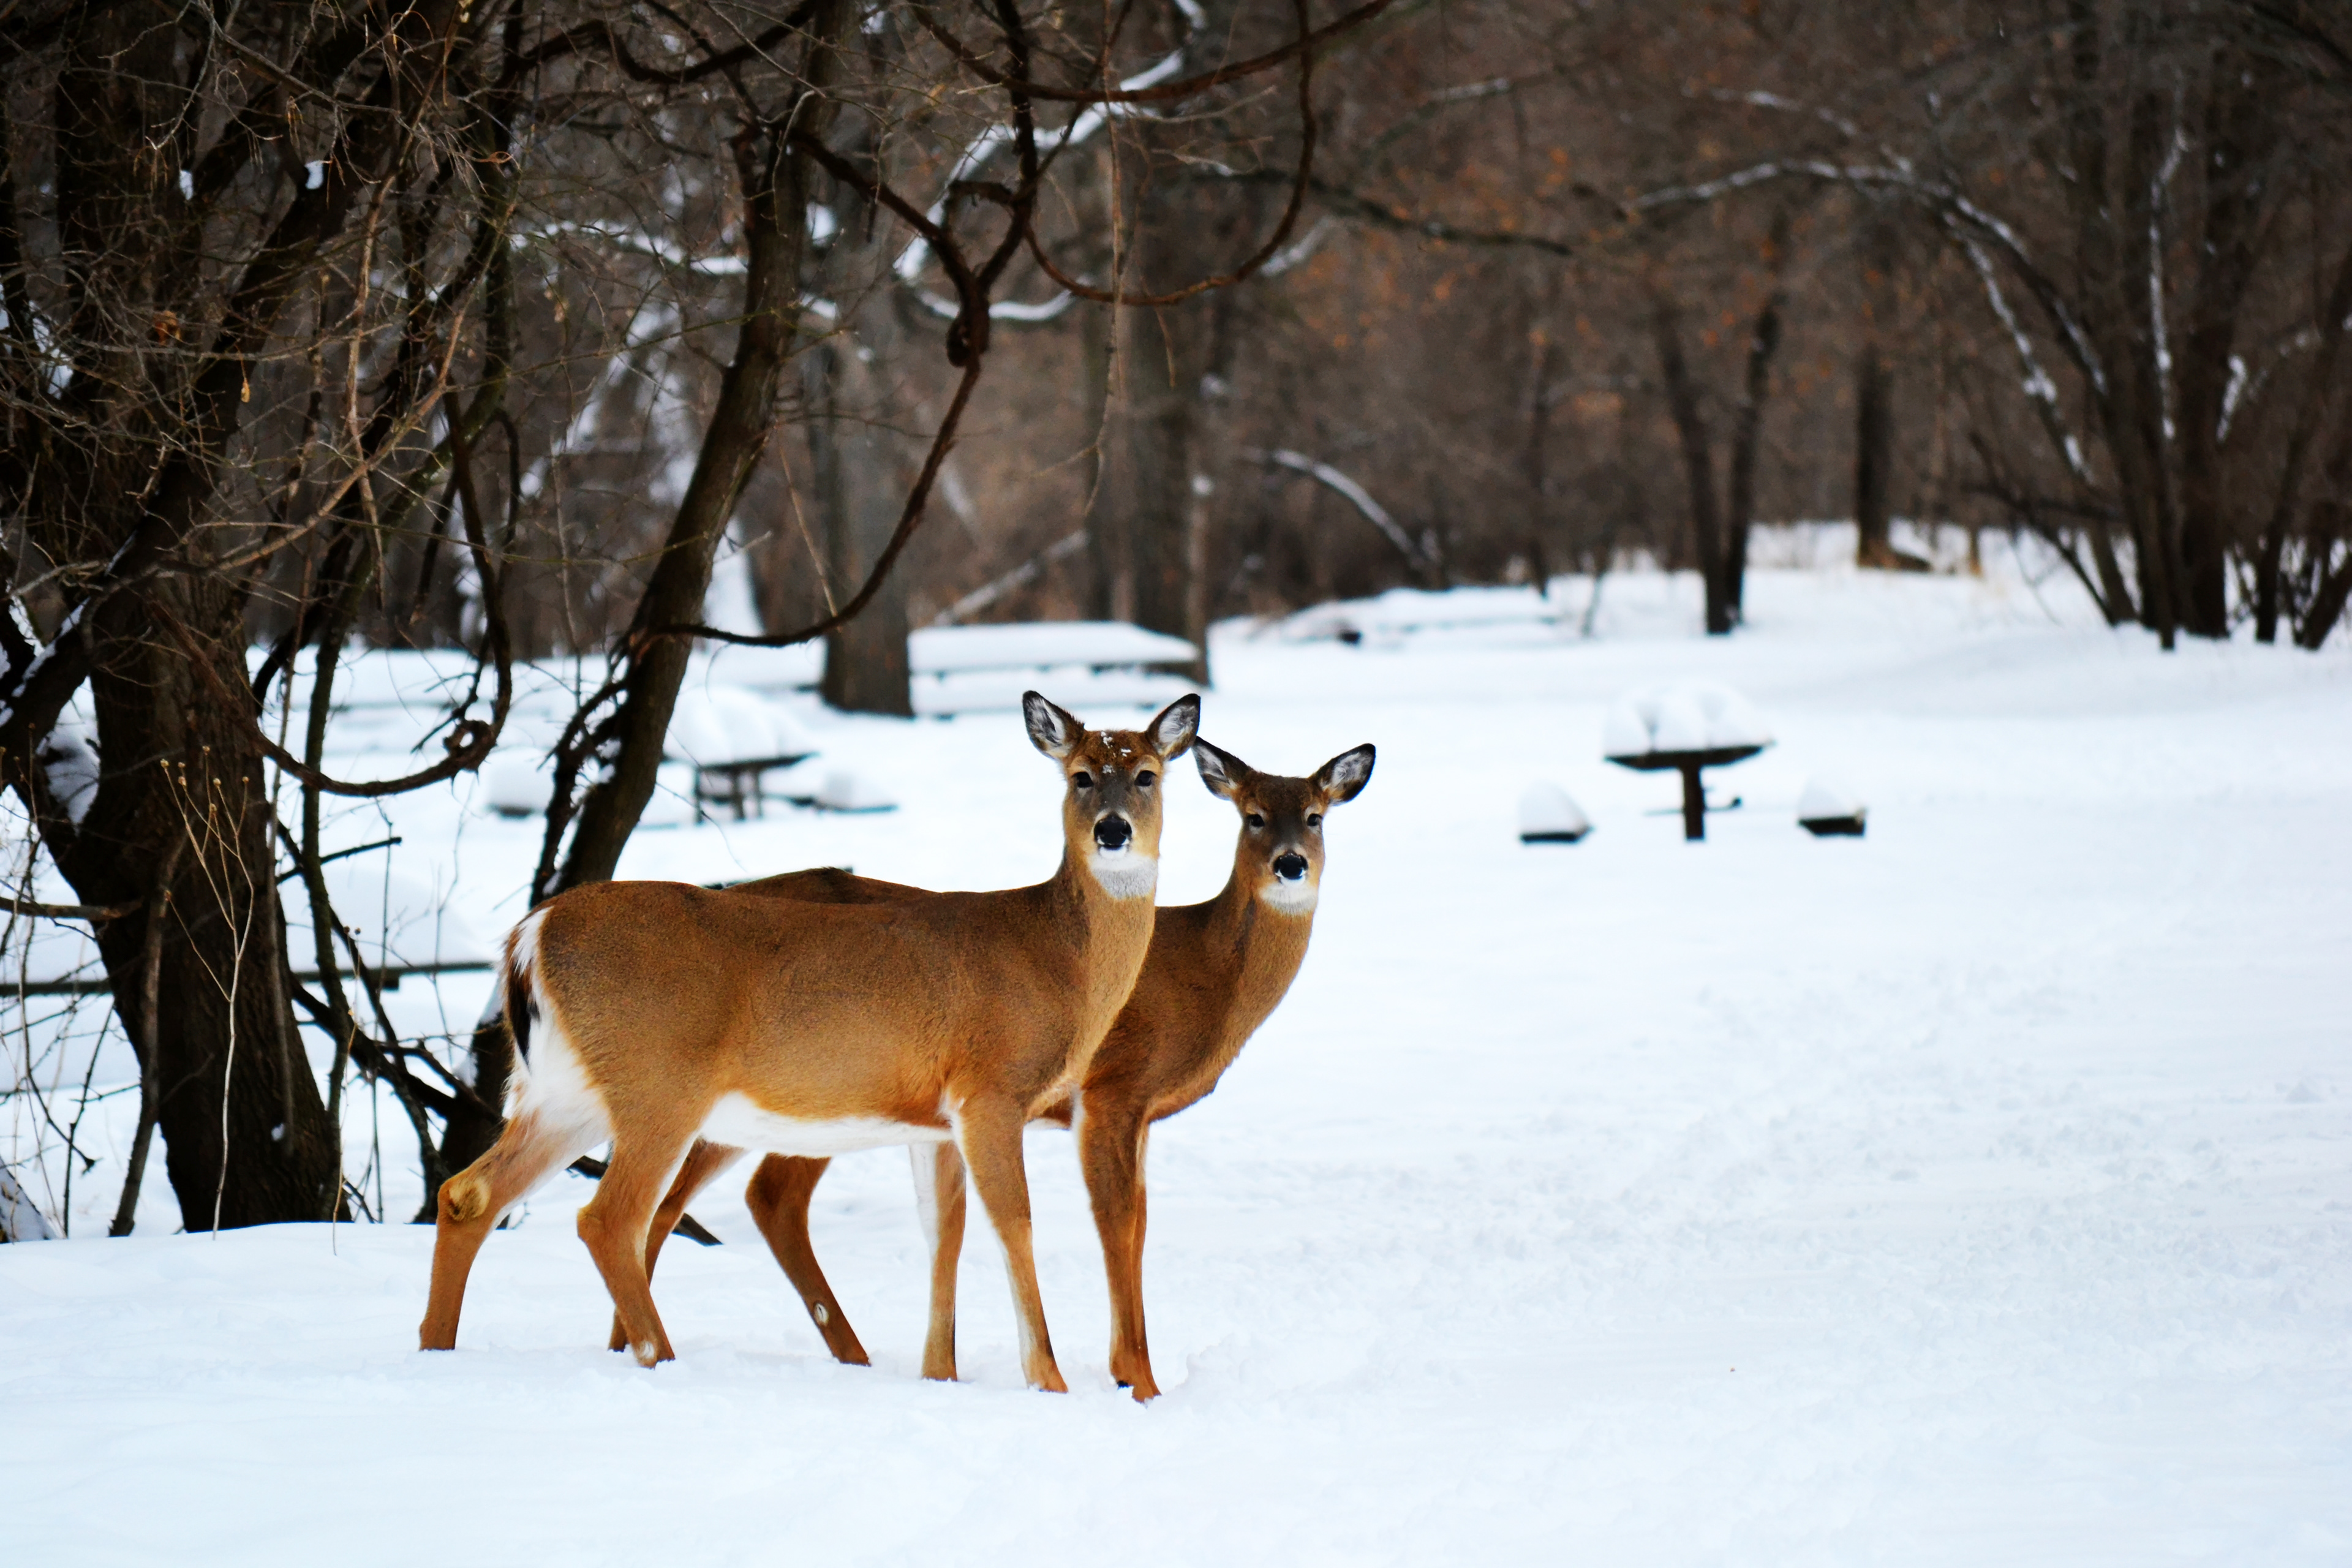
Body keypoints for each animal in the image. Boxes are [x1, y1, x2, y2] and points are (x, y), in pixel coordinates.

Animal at [417, 692, 1201, 1392]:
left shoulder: (935, 1117)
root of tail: (531, 934)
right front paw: (1050, 1379)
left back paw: (437, 1351)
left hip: (562, 1094)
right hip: (658, 1087)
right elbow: (1014, 1223)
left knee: (468, 1192)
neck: (1055, 957)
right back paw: (662, 1358)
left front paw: (940, 1375)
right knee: (609, 1219)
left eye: (1147, 774)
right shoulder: (991, 1089)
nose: (1112, 832)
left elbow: (942, 1231)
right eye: (1080, 774)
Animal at [630, 734, 1375, 1399]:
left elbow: (1135, 1222)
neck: (1205, 974)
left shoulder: (1135, 1113)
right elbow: (1118, 1222)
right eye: (1253, 815)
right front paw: (1137, 1381)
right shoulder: (1113, 1089)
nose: (1289, 865)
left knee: (716, 1198)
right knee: (742, 1195)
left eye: (1316, 815)